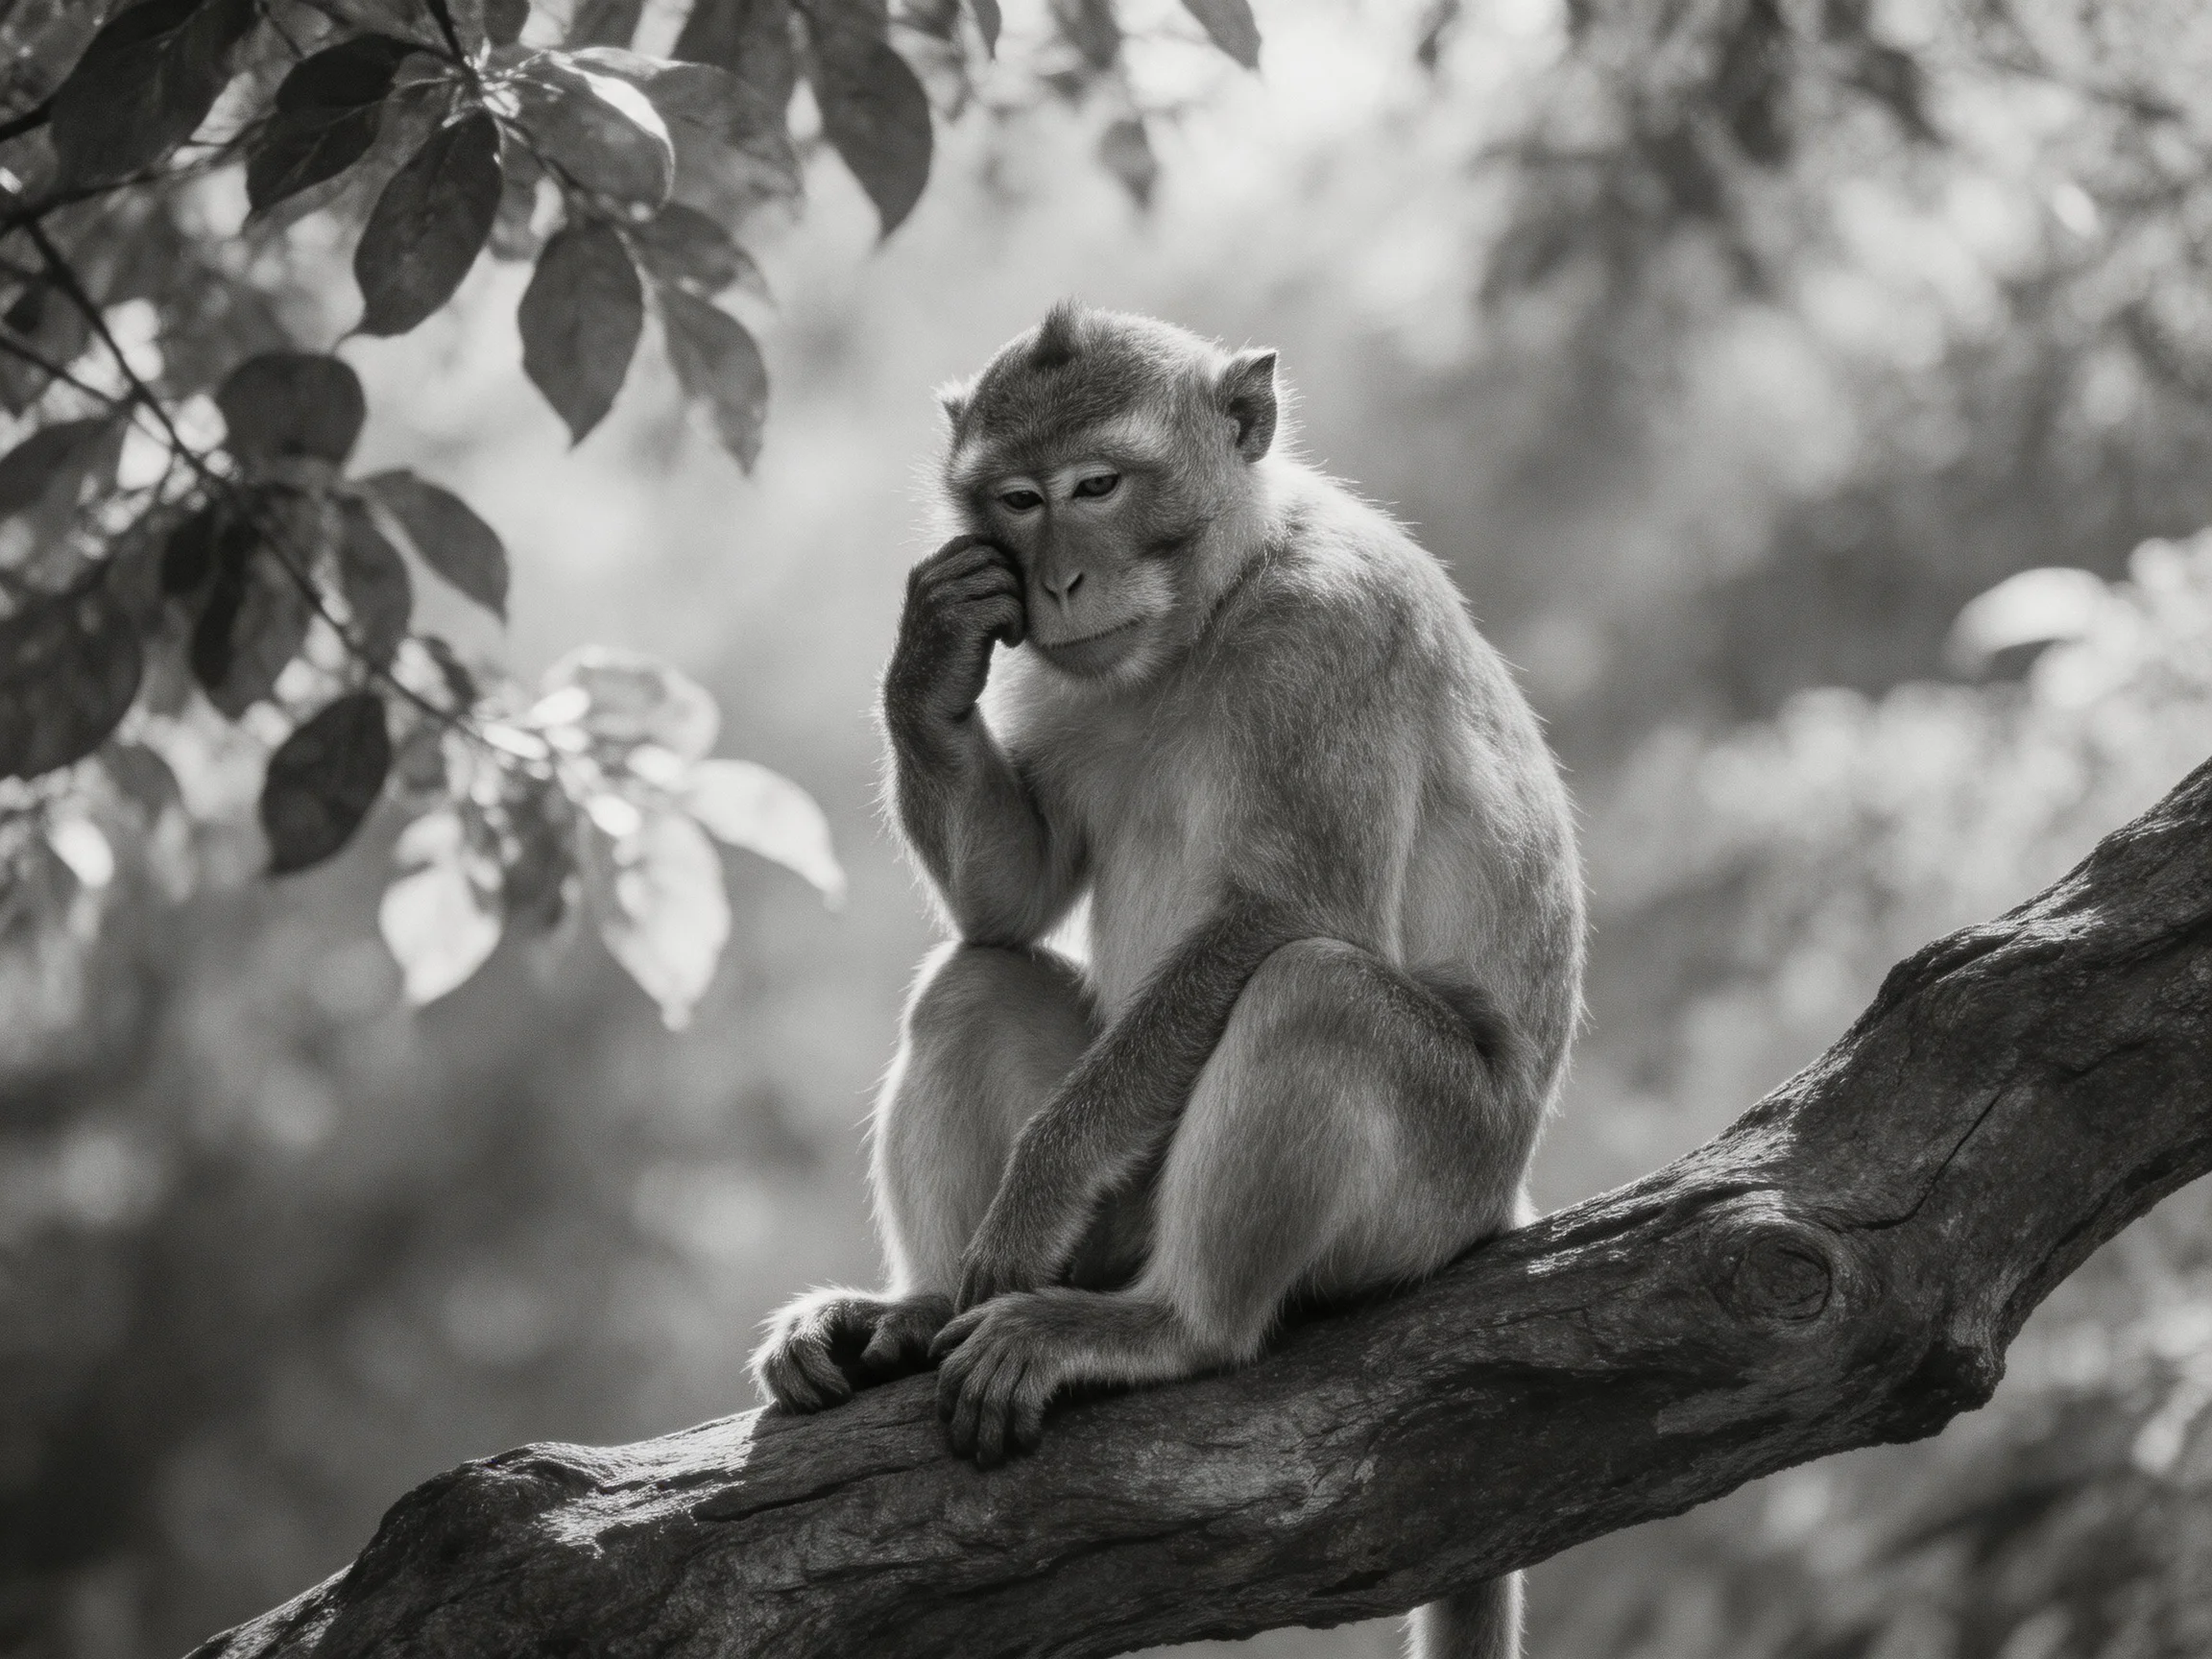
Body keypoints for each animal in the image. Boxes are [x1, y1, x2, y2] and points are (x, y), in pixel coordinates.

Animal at [750, 303, 1584, 1659]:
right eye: (1020, 500)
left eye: (1100, 485)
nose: (1059, 581)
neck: (1214, 614)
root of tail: (1502, 1200)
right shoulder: (1059, 670)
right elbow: (1010, 899)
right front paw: (930, 652)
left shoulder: (1329, 635)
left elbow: (1289, 915)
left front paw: (1037, 1188)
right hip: (1131, 1208)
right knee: (971, 982)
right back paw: (914, 1311)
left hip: (1434, 1193)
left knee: (1316, 996)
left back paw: (1171, 1330)